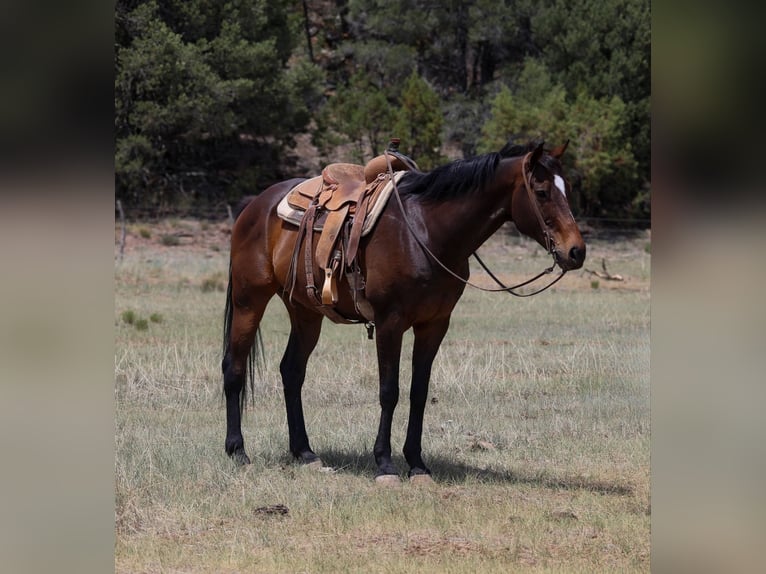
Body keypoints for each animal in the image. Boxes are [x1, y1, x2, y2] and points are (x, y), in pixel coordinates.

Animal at [221, 140, 586, 482]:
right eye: (541, 192)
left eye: (567, 188)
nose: (576, 251)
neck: (427, 231)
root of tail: (255, 205)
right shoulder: (389, 323)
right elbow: (389, 391)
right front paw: (385, 463)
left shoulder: (434, 325)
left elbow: (418, 392)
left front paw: (417, 463)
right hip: (249, 300)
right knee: (234, 368)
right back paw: (238, 451)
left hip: (305, 312)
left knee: (292, 371)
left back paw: (305, 453)